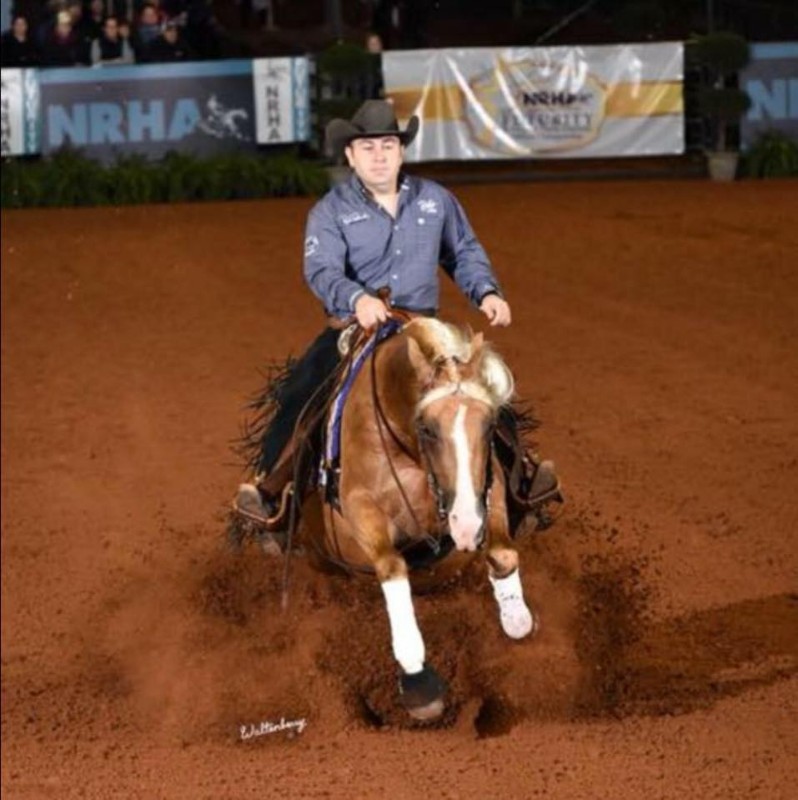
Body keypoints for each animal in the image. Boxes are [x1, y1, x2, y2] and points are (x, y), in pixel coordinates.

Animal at [303, 316, 539, 721]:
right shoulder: (360, 506)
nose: (465, 526)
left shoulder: (484, 488)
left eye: (489, 425)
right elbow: (393, 567)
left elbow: (503, 553)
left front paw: (517, 619)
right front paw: (417, 676)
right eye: (427, 428)